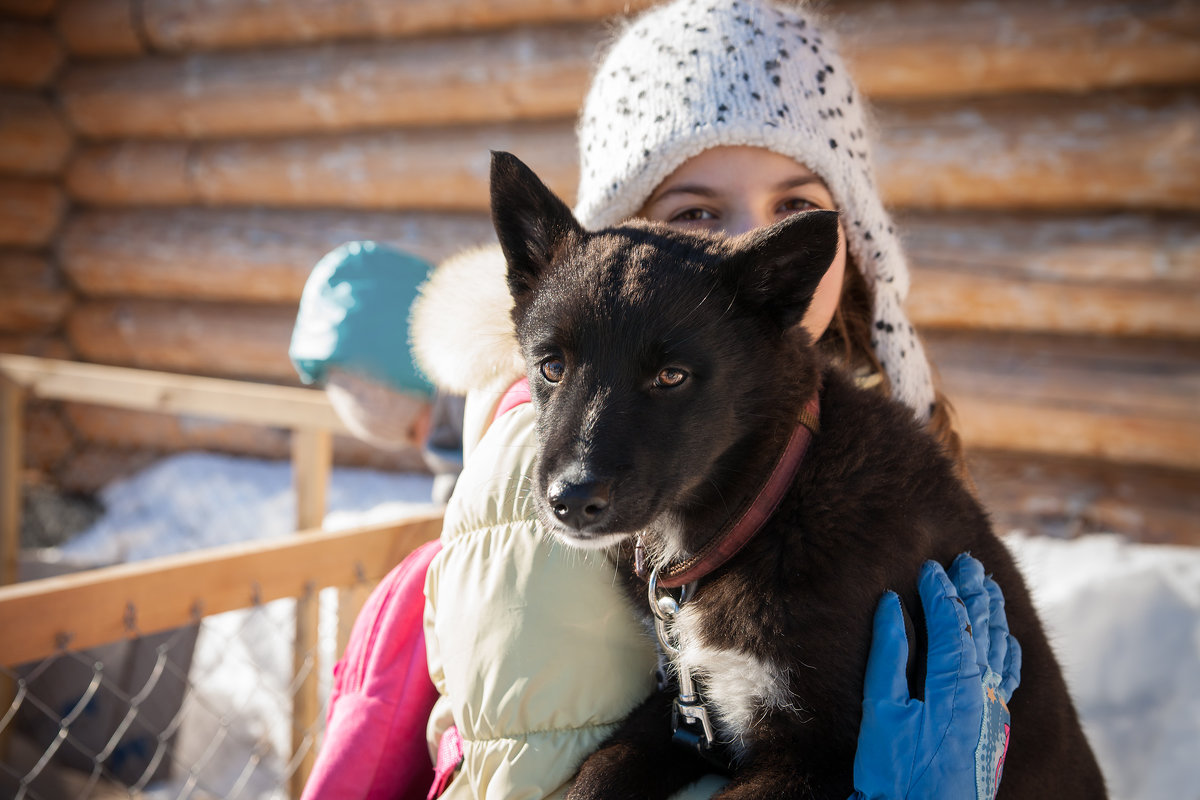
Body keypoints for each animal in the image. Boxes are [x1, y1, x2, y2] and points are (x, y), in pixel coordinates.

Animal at [487, 151, 1104, 800]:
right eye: (551, 366)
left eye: (671, 376)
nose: (572, 499)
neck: (766, 507)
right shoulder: (683, 711)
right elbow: (597, 773)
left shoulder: (819, 755)